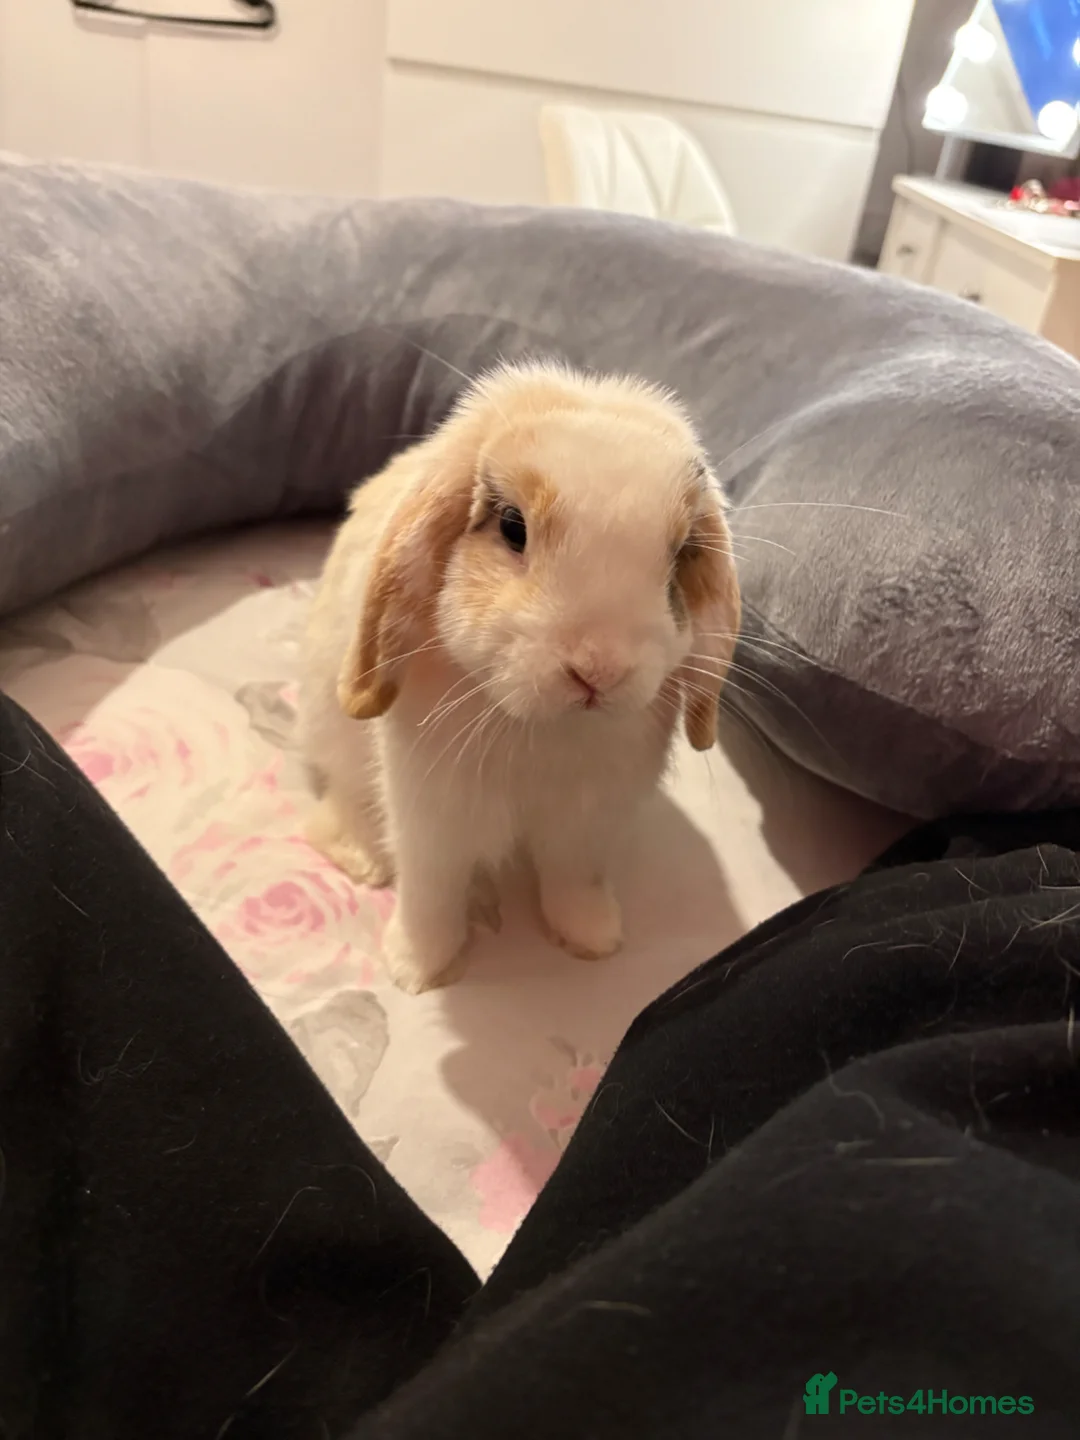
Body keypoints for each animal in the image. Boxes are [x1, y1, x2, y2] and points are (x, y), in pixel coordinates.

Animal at [297, 359, 741, 994]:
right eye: (513, 527)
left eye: (680, 554)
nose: (597, 670)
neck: (541, 732)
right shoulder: (433, 823)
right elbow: (431, 895)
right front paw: (419, 971)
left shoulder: (586, 828)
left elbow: (572, 882)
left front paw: (592, 940)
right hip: (333, 734)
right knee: (340, 806)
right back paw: (364, 860)